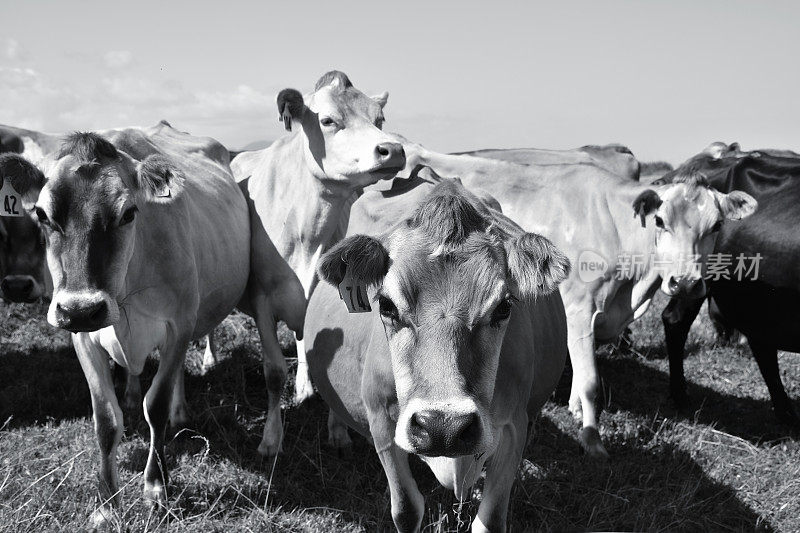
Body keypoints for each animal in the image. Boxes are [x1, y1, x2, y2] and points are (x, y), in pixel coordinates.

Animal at [0, 125, 300, 528]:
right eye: (43, 216)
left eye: (128, 213)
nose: (82, 309)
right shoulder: (84, 338)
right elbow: (106, 419)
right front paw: (106, 503)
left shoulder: (179, 324)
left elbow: (155, 405)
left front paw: (156, 488)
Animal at [304, 172, 568, 528]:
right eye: (386, 305)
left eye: (503, 307)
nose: (444, 426)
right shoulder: (382, 420)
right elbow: (407, 508)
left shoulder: (515, 426)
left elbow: (490, 519)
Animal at [360, 138, 760, 458]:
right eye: (661, 221)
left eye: (717, 225)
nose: (686, 282)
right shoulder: (579, 308)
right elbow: (591, 382)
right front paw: (592, 440)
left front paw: (577, 410)